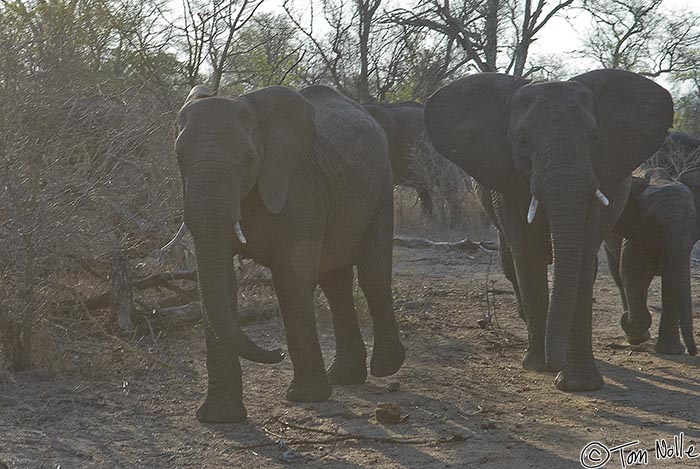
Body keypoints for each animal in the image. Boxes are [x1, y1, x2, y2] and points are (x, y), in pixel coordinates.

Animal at [168, 85, 404, 424]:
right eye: (178, 158)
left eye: (249, 159)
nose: (276, 353)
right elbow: (220, 279)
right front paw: (219, 418)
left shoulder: (299, 186)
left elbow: (291, 276)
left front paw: (306, 397)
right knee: (336, 282)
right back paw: (344, 377)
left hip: (382, 188)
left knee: (372, 273)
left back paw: (385, 368)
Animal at [424, 70, 676, 392]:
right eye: (521, 141)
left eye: (594, 138)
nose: (554, 362)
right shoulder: (510, 187)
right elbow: (527, 258)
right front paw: (537, 366)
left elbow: (581, 260)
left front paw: (577, 383)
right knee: (510, 264)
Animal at [600, 168, 700, 354]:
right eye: (656, 222)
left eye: (693, 220)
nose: (693, 352)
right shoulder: (634, 231)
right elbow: (631, 271)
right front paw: (632, 326)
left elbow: (672, 278)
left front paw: (671, 351)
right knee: (619, 275)